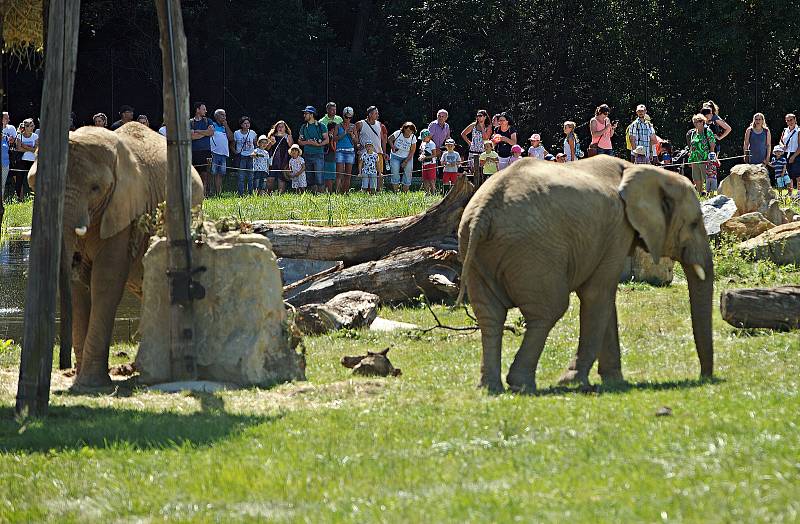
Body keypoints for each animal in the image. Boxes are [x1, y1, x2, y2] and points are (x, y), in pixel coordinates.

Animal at [28, 121, 205, 386]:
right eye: (35, 184)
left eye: (95, 188)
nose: (64, 365)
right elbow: (80, 288)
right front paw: (81, 381)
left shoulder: (124, 208)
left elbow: (106, 280)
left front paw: (90, 384)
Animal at [460, 156, 716, 392]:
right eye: (694, 223)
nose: (705, 377)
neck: (642, 170)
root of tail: (484, 211)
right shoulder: (617, 231)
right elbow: (597, 294)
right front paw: (573, 381)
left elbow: (604, 301)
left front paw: (615, 382)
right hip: (533, 252)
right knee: (547, 311)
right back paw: (521, 385)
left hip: (477, 253)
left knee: (490, 315)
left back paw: (489, 388)